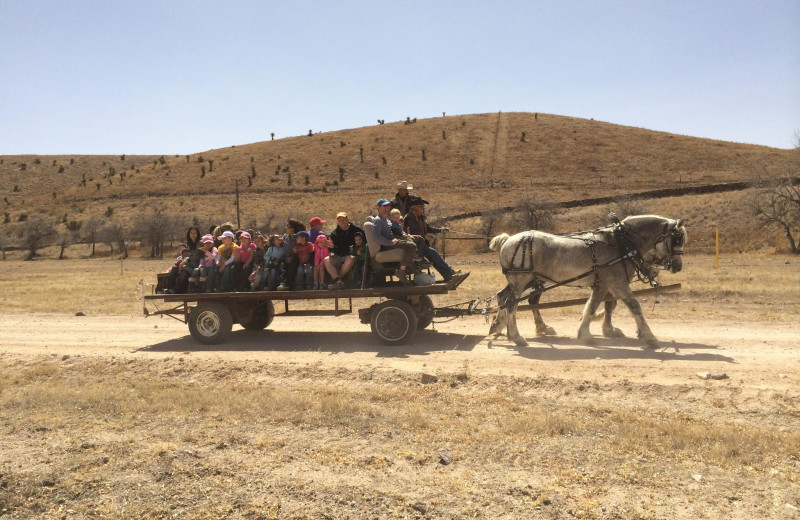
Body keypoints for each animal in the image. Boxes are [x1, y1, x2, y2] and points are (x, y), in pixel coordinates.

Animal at [488, 213, 688, 348]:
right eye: (677, 240)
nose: (678, 266)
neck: (621, 243)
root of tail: (508, 239)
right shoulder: (618, 284)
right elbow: (634, 306)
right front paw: (649, 337)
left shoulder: (602, 285)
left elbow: (594, 306)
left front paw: (586, 333)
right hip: (521, 280)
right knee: (512, 304)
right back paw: (516, 336)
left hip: (525, 281)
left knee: (504, 297)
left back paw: (501, 327)